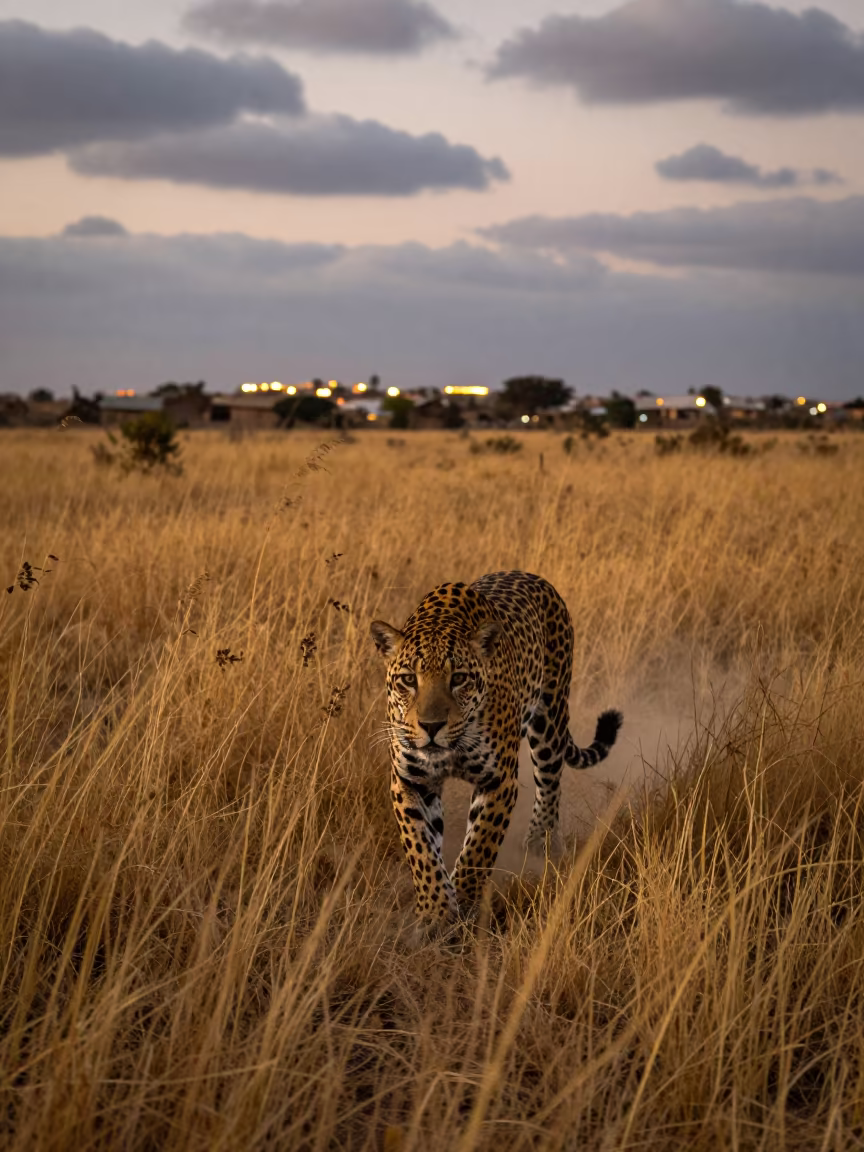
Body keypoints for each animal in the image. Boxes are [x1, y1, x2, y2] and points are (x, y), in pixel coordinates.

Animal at [370, 570, 622, 927]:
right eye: (408, 679)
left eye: (459, 678)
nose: (431, 727)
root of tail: (532, 576)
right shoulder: (410, 780)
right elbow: (421, 850)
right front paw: (436, 911)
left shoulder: (499, 780)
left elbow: (479, 847)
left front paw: (463, 901)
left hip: (550, 719)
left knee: (550, 785)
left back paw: (539, 845)